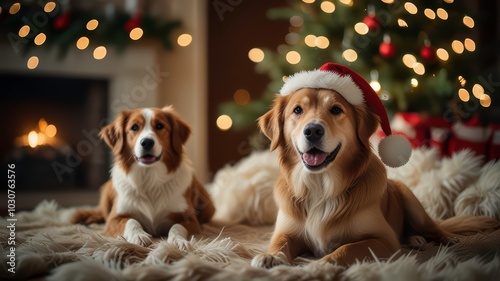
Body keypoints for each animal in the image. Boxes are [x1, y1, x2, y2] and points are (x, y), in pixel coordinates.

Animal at [72, 105, 215, 245]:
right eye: (134, 127)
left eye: (159, 126)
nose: (147, 142)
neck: (149, 178)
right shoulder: (115, 218)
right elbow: (131, 221)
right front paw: (138, 236)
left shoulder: (190, 218)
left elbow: (177, 226)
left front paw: (177, 240)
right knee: (100, 213)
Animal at [252, 64, 498, 266]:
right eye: (297, 110)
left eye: (336, 110)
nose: (312, 130)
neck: (320, 185)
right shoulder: (286, 231)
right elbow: (280, 242)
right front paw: (271, 256)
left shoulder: (383, 239)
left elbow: (348, 247)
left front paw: (323, 262)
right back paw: (416, 239)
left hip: (411, 201)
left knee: (435, 228)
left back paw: (443, 239)